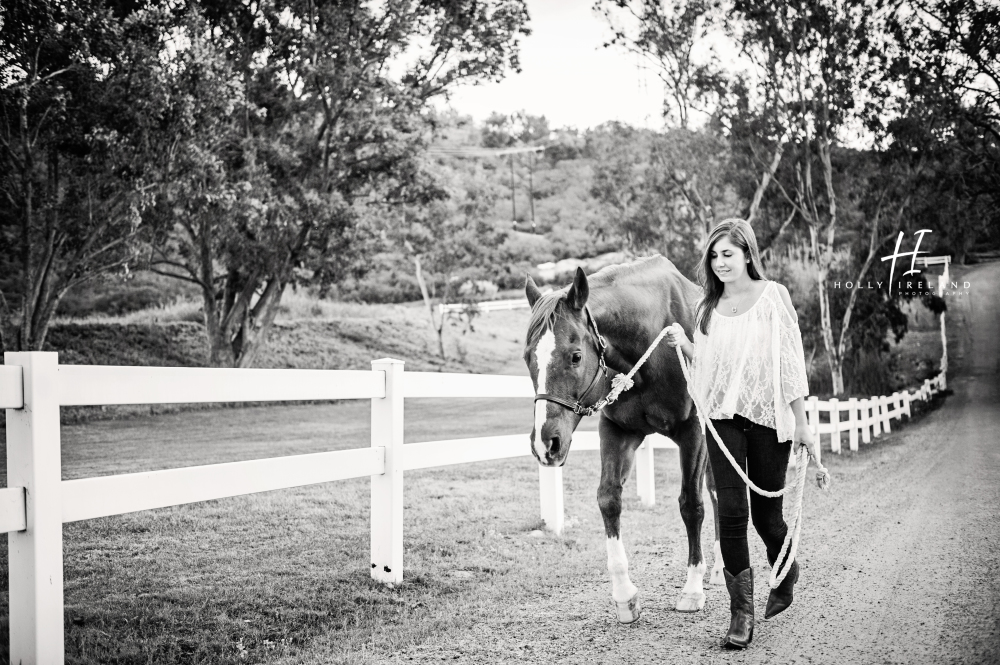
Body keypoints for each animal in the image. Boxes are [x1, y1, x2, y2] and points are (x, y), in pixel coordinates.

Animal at [520, 255, 724, 624]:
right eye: (528, 357)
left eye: (575, 356)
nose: (546, 443)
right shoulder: (618, 431)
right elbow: (608, 500)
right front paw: (625, 595)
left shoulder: (694, 431)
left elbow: (692, 504)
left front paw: (692, 589)